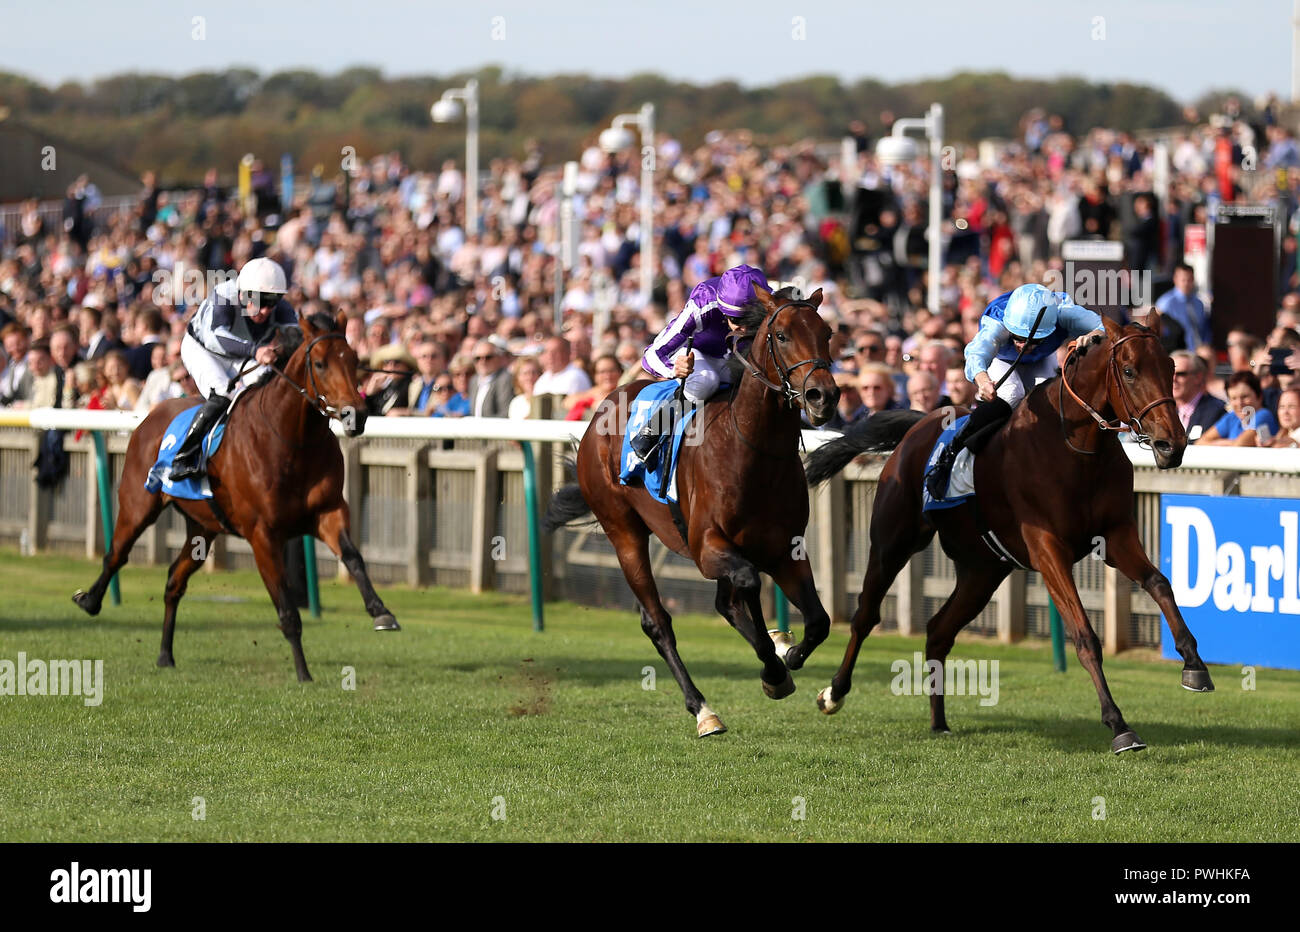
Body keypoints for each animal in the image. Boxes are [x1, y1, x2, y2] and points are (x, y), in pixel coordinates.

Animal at [69, 309, 395, 681]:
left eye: (354, 359)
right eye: (321, 363)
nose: (357, 414)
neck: (292, 439)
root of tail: (152, 415)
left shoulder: (327, 513)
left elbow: (354, 557)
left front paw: (381, 612)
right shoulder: (262, 536)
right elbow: (287, 612)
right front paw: (303, 674)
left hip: (203, 527)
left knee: (174, 580)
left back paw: (165, 654)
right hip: (139, 506)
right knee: (116, 555)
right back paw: (90, 600)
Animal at [540, 283, 837, 733]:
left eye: (828, 333)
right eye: (782, 335)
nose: (824, 396)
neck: (754, 452)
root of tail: (603, 406)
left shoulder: (786, 549)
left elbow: (818, 621)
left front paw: (787, 656)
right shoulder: (707, 547)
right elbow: (748, 583)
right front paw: (772, 667)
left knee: (724, 604)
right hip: (623, 532)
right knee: (657, 622)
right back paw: (703, 709)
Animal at [806, 315, 1211, 753]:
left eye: (1172, 368)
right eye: (1130, 371)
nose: (1172, 444)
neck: (1074, 446)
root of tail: (920, 424)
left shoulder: (1115, 534)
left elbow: (1159, 583)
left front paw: (1195, 667)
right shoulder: (1048, 548)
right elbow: (1084, 635)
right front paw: (1119, 725)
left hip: (982, 570)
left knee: (938, 631)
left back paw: (939, 721)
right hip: (893, 542)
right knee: (866, 615)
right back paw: (833, 693)